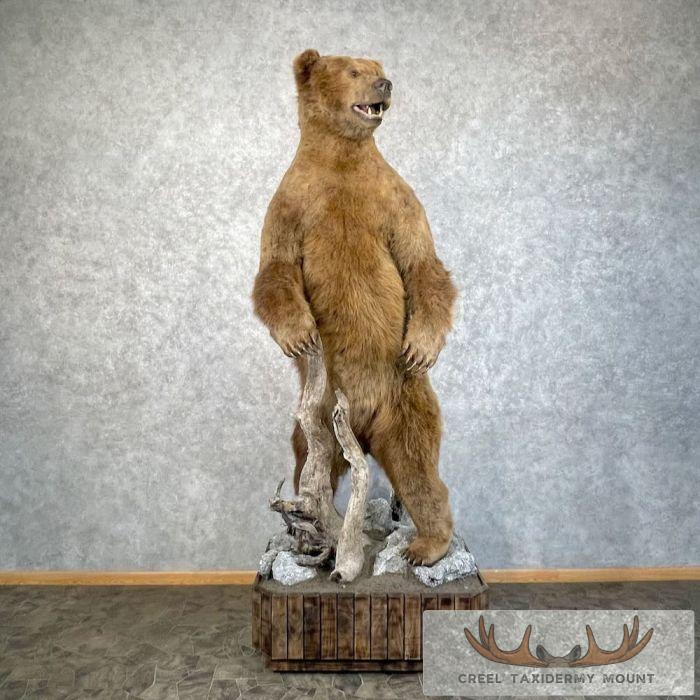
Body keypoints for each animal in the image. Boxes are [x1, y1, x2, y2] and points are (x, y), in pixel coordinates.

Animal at [252, 49, 458, 565]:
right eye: (352, 70)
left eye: (375, 67)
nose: (385, 83)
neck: (343, 162)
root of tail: (362, 432)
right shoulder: (291, 204)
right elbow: (275, 269)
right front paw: (298, 335)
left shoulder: (395, 199)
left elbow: (422, 262)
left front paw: (422, 346)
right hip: (319, 411)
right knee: (309, 461)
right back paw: (308, 529)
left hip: (405, 398)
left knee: (418, 463)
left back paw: (425, 546)